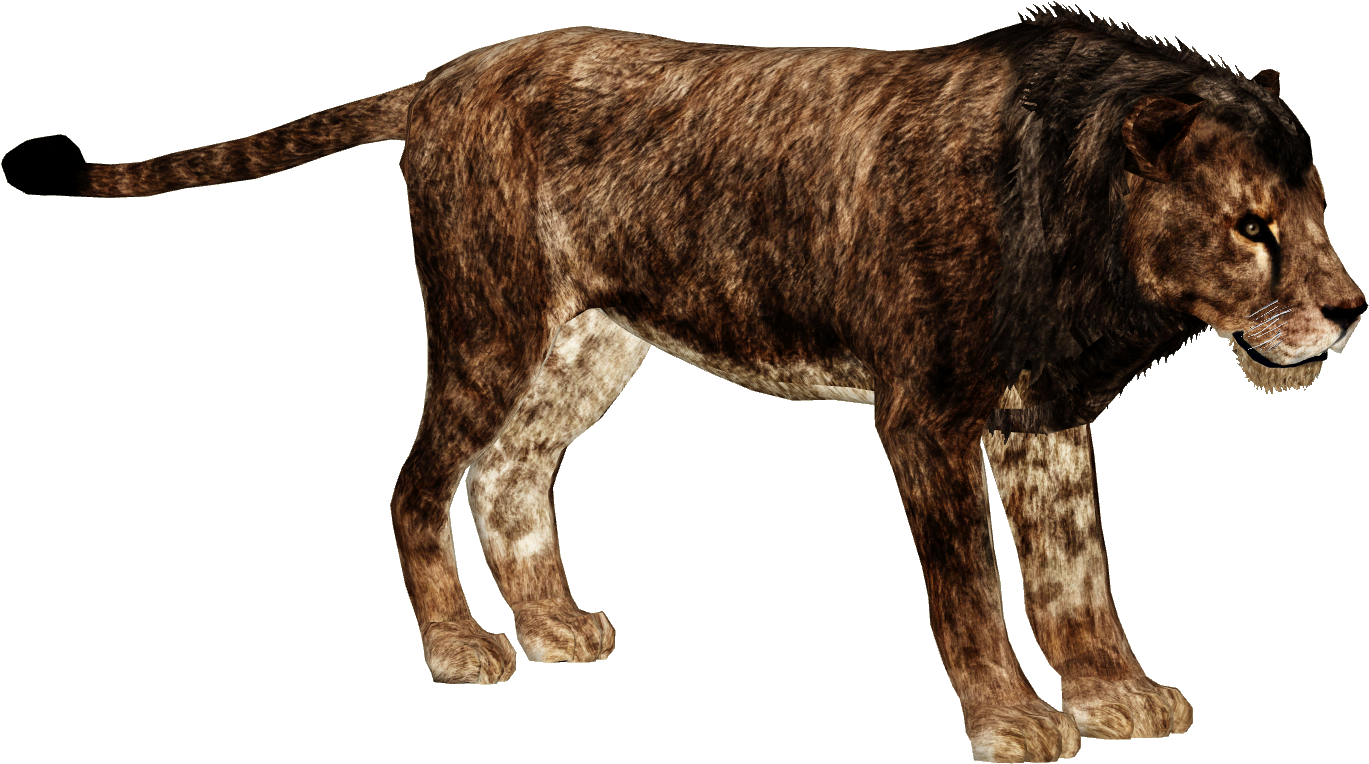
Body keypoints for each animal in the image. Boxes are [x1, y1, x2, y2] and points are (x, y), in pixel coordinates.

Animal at [4, 4, 1361, 761]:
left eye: (1316, 214)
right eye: (1251, 226)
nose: (1350, 312)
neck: (1088, 246)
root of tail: (445, 77)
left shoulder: (1044, 420)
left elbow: (1076, 579)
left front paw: (1117, 694)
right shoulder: (925, 411)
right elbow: (973, 587)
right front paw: (1014, 722)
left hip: (587, 343)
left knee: (509, 474)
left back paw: (555, 626)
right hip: (490, 321)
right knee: (415, 481)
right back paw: (461, 648)